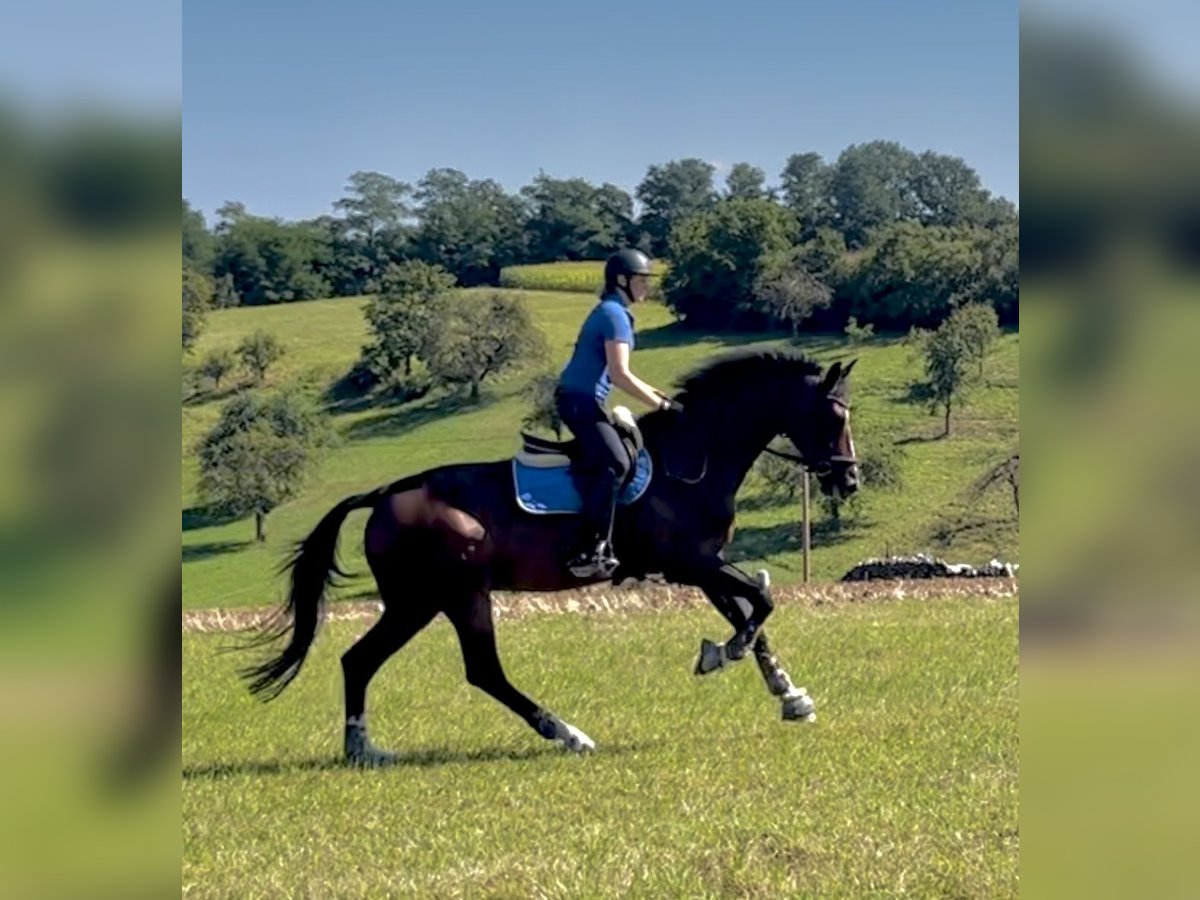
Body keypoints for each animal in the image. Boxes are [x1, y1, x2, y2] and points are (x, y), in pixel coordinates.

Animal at [238, 348, 859, 763]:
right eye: (833, 417)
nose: (849, 481)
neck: (695, 455)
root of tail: (387, 492)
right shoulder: (690, 563)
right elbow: (760, 602)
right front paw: (718, 656)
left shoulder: (705, 563)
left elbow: (753, 614)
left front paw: (788, 693)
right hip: (458, 593)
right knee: (481, 670)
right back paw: (567, 734)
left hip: (415, 602)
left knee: (359, 660)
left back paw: (363, 750)